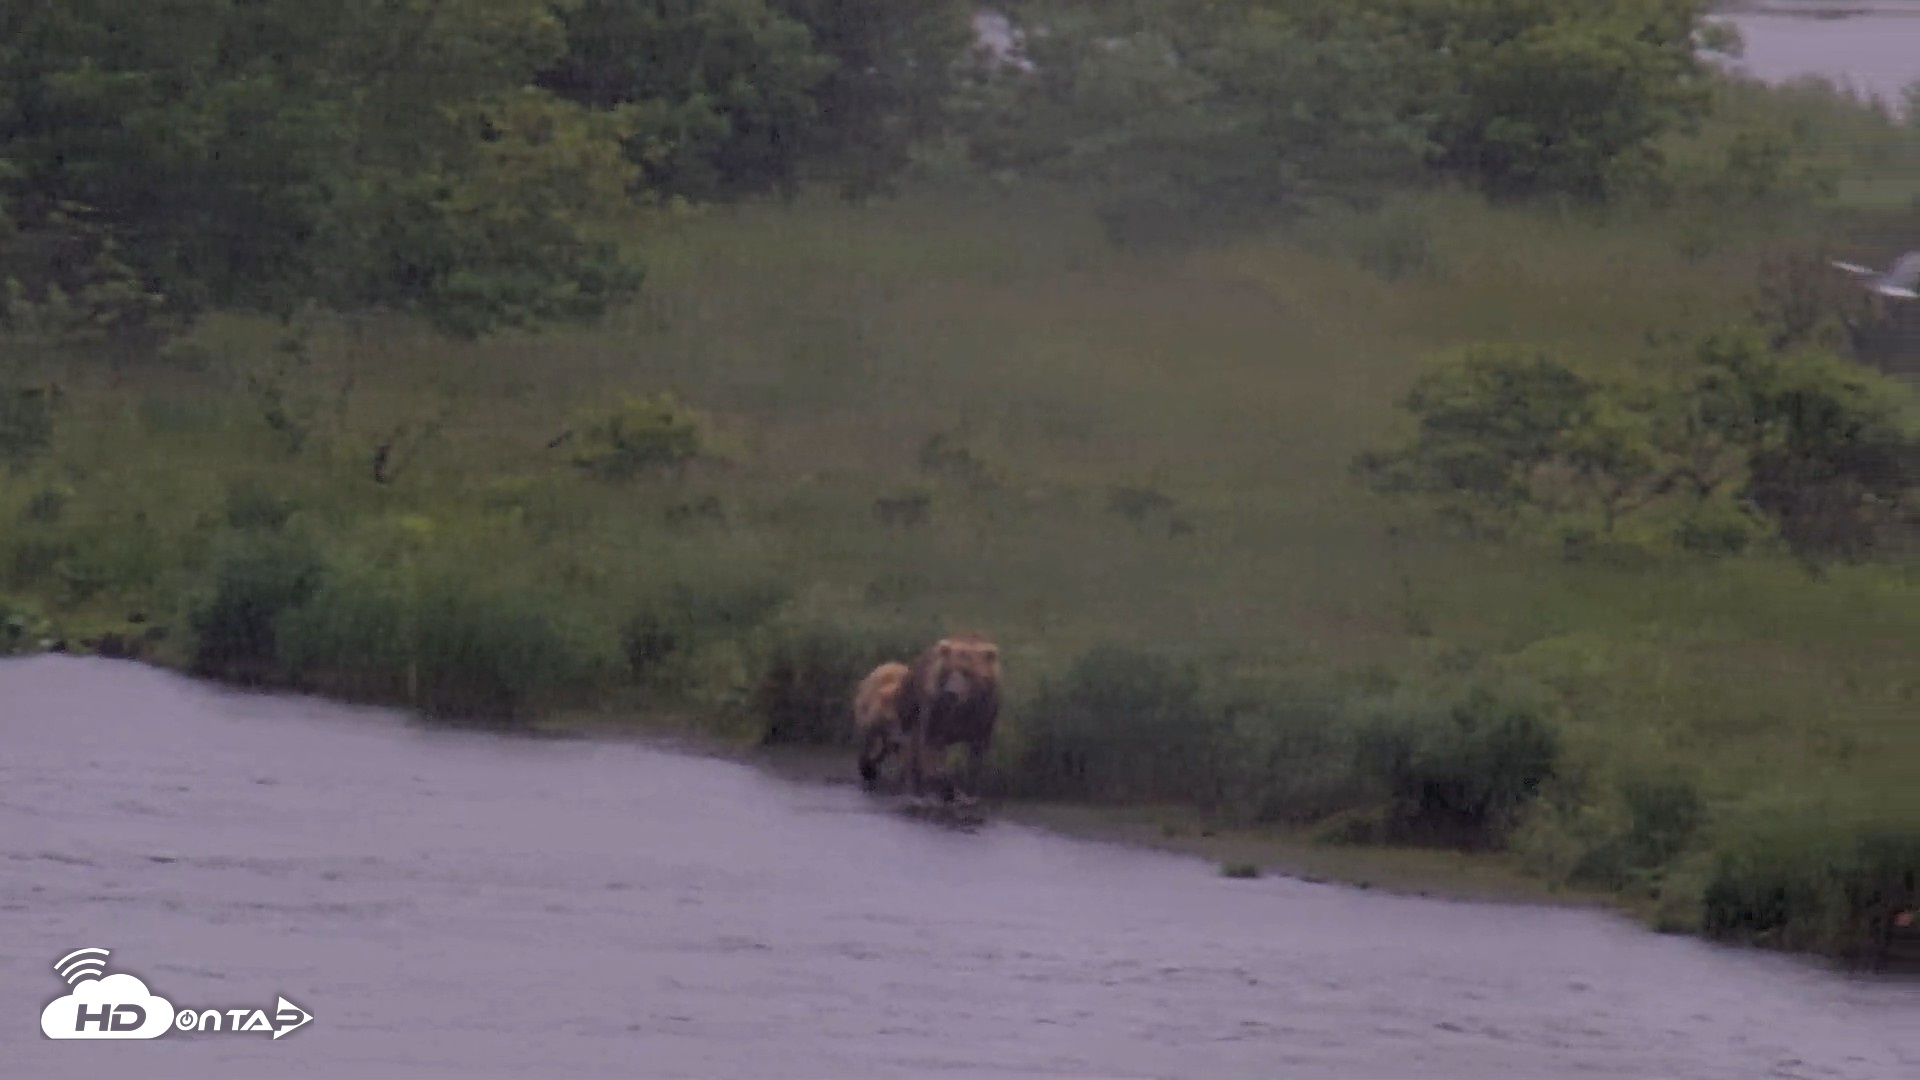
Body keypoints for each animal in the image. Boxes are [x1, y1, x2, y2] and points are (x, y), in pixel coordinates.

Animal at [897, 634, 1002, 803]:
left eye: (968, 672)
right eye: (948, 670)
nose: (951, 693)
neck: (964, 708)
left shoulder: (984, 716)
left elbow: (977, 754)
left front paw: (971, 792)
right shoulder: (936, 713)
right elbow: (931, 749)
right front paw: (944, 786)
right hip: (911, 704)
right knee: (911, 746)